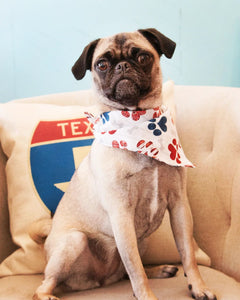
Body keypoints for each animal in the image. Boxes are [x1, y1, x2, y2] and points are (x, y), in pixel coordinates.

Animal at [31, 28, 217, 300]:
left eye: (142, 57)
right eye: (102, 64)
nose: (122, 66)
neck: (139, 121)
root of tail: (99, 281)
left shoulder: (179, 206)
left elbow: (187, 254)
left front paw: (198, 286)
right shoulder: (121, 216)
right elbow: (135, 269)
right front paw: (146, 296)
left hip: (143, 239)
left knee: (126, 271)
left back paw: (160, 269)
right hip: (73, 242)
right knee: (47, 283)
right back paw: (47, 294)